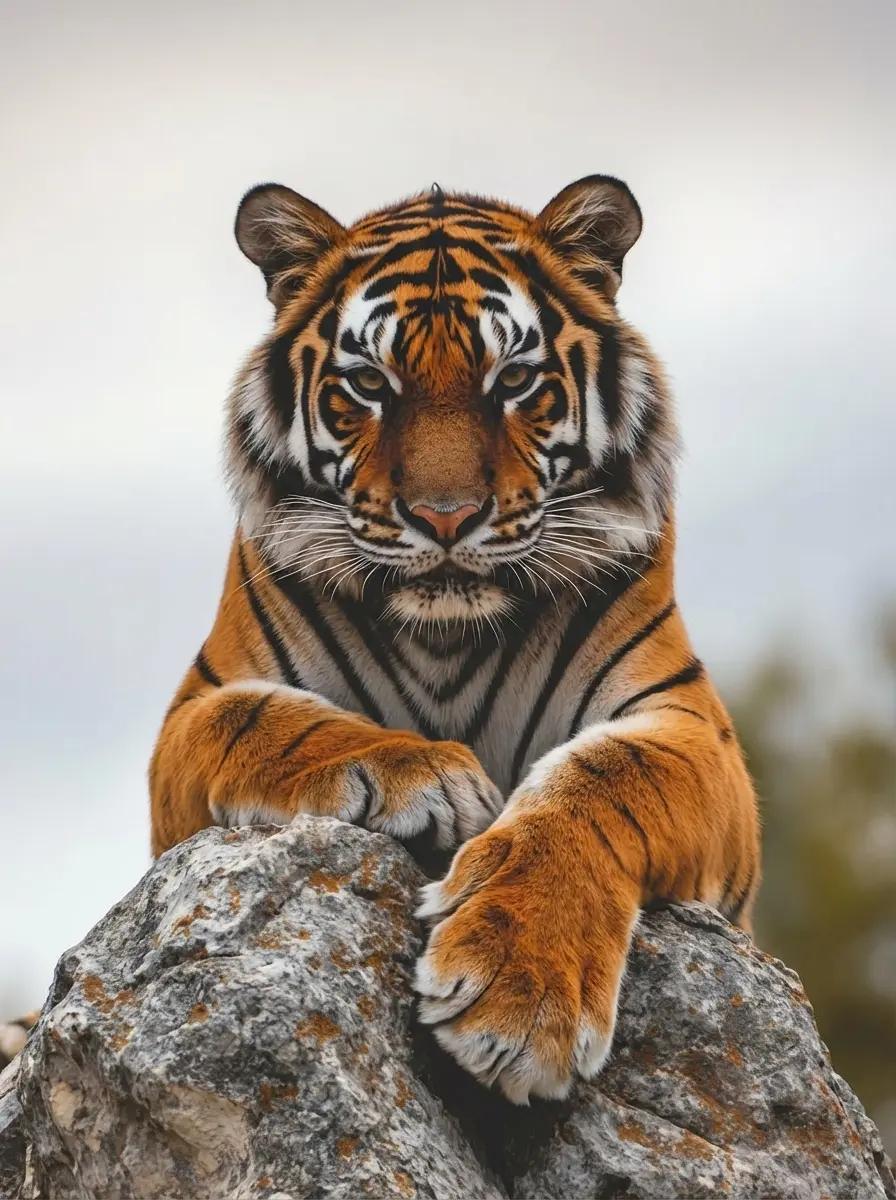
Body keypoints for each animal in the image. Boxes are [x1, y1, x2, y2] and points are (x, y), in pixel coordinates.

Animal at [150, 175, 759, 1106]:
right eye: (369, 383)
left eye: (514, 379)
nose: (444, 518)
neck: (448, 638)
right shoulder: (196, 708)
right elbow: (262, 717)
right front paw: (427, 772)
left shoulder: (690, 726)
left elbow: (607, 777)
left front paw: (518, 995)